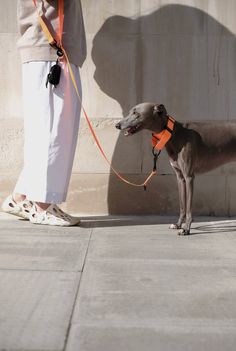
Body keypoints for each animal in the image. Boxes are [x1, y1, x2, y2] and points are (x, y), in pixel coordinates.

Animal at [115, 103, 236, 235]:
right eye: (130, 111)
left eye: (136, 113)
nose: (117, 125)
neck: (174, 133)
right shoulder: (180, 177)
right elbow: (182, 205)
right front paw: (178, 224)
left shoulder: (189, 177)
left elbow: (188, 207)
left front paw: (186, 228)